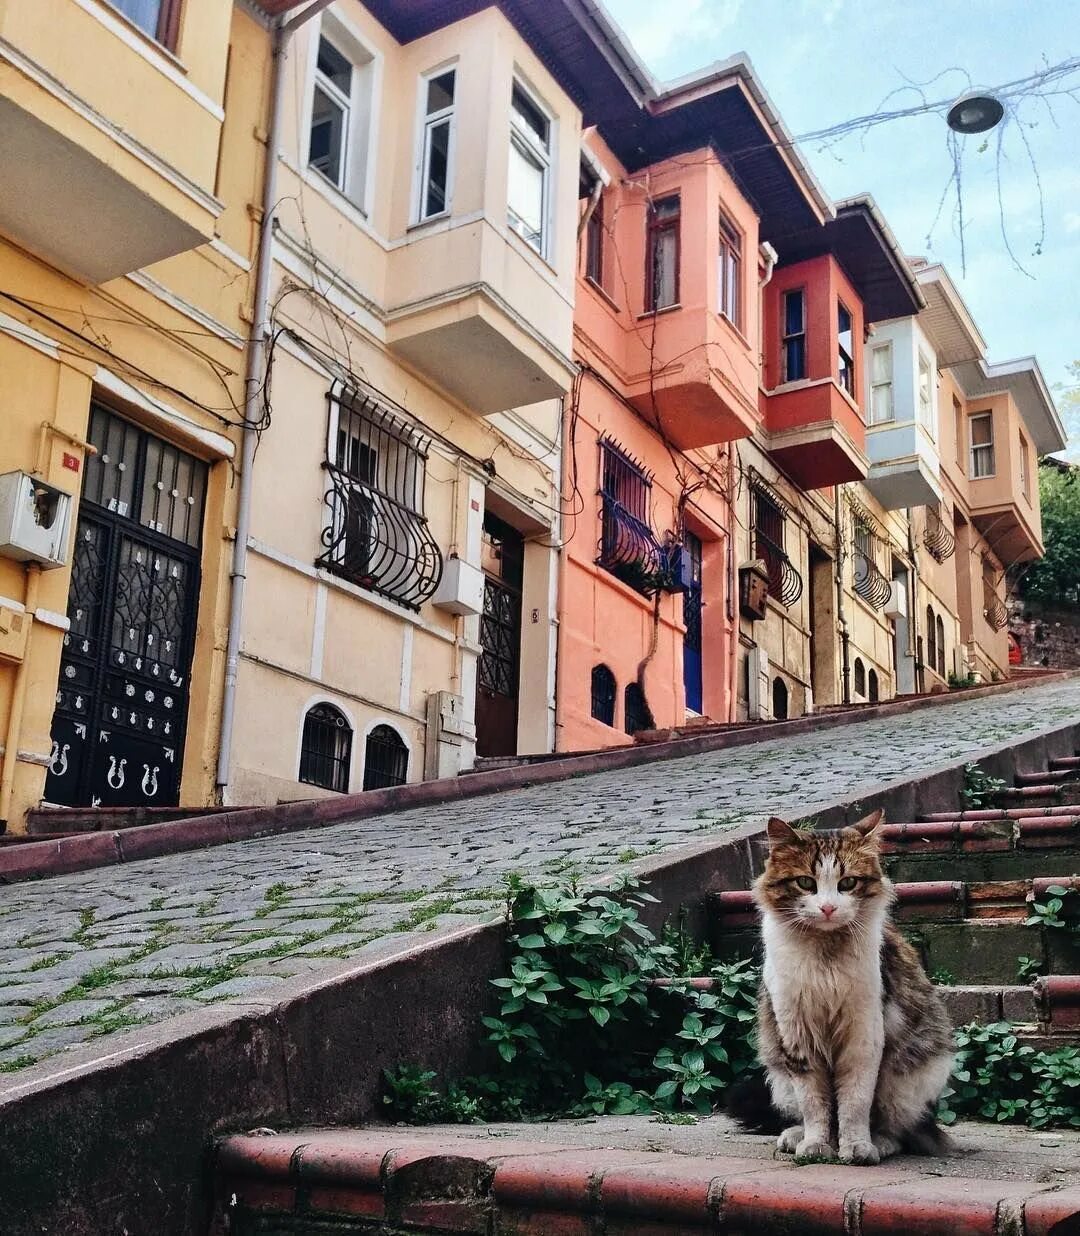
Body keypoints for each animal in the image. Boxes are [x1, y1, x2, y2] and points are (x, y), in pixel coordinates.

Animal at [731, 805, 949, 1161]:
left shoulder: (862, 1035)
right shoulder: (798, 1035)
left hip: (908, 1080)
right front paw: (816, 1146)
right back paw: (795, 1137)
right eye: (805, 882)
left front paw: (857, 1147)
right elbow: (816, 1105)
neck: (826, 959)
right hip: (779, 1075)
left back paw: (880, 1143)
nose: (828, 908)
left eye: (847, 883)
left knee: (899, 1129)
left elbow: (854, 1103)